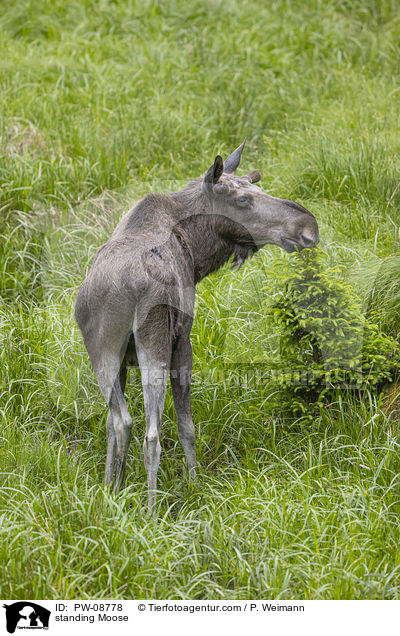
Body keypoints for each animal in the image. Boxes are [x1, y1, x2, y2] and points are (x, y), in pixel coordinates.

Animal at [75, 142, 318, 516]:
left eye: (258, 186)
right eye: (242, 200)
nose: (307, 225)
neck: (197, 251)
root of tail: (123, 288)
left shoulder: (120, 361)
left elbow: (108, 425)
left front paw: (111, 487)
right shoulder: (183, 342)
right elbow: (186, 426)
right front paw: (195, 484)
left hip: (102, 354)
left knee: (118, 421)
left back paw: (113, 496)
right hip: (154, 344)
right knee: (149, 432)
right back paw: (151, 511)